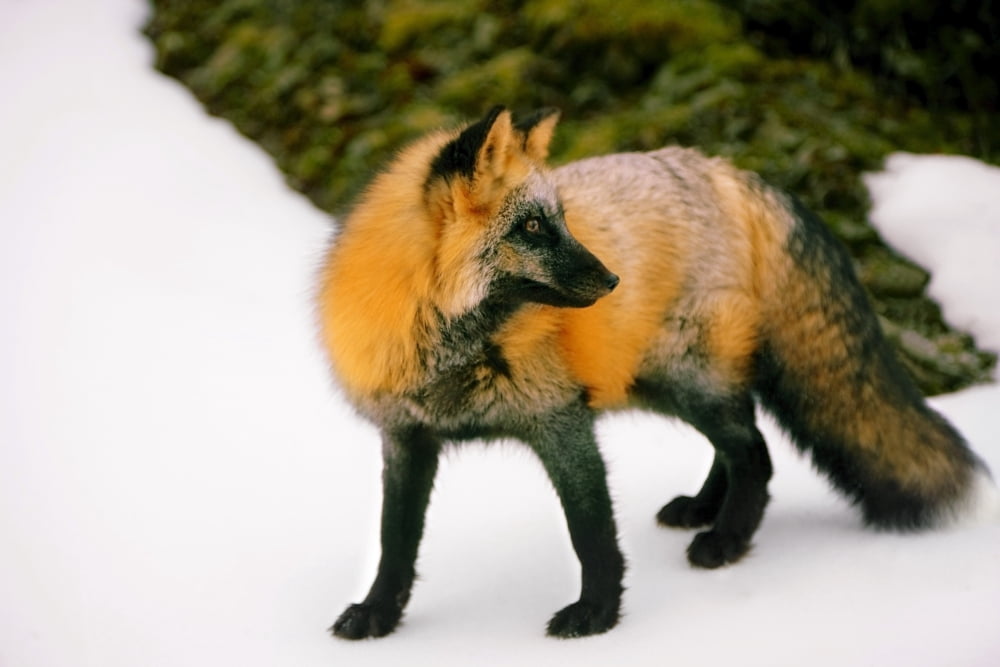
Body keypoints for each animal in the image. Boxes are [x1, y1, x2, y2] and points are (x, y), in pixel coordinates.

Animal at [316, 105, 994, 639]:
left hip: (684, 378)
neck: (452, 347)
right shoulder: (406, 437)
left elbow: (591, 533)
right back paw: (703, 509)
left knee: (756, 452)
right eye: (531, 227)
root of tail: (728, 171)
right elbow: (394, 541)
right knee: (742, 440)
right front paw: (379, 616)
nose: (612, 280)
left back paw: (726, 540)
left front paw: (597, 616)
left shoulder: (561, 421)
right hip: (669, 382)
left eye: (562, 220)